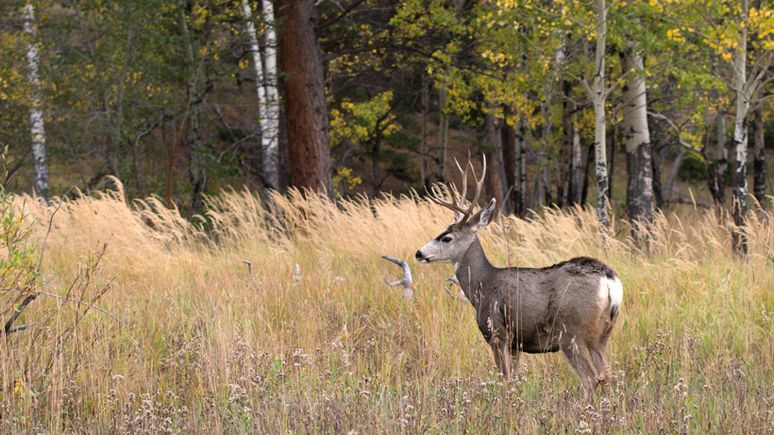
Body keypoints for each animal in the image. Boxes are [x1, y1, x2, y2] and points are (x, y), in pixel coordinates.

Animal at [418, 156, 624, 398]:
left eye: (447, 238)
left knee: (590, 378)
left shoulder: (497, 332)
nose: (419, 253)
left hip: (571, 332)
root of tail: (610, 282)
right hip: (602, 335)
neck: (482, 285)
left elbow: (504, 378)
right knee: (607, 377)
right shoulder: (516, 342)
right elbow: (514, 379)